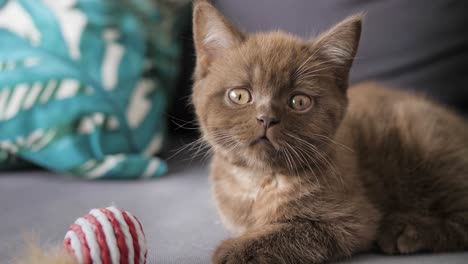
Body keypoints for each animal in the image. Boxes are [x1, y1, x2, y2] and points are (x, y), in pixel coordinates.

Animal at [190, 1, 468, 262]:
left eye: (299, 101)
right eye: (239, 95)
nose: (267, 118)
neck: (260, 181)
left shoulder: (353, 219)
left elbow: (294, 232)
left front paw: (233, 251)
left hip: (427, 142)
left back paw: (405, 229)